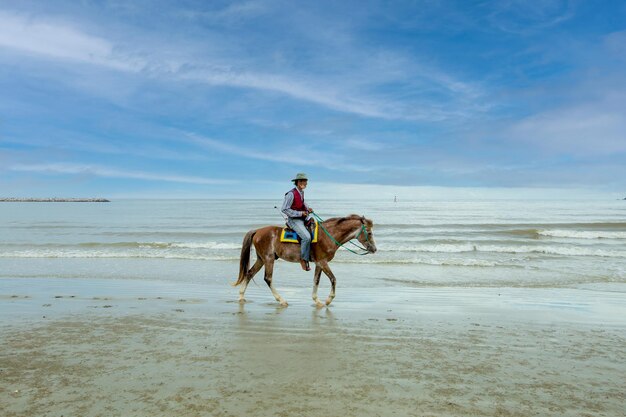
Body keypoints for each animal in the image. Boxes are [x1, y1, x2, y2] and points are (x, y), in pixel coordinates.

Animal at [233, 214, 376, 306]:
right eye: (369, 233)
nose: (374, 249)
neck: (329, 235)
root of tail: (257, 231)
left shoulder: (319, 263)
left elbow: (316, 281)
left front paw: (317, 301)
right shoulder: (323, 262)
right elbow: (333, 279)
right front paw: (329, 300)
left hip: (261, 259)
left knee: (249, 273)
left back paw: (241, 297)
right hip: (268, 259)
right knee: (268, 278)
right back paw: (281, 300)